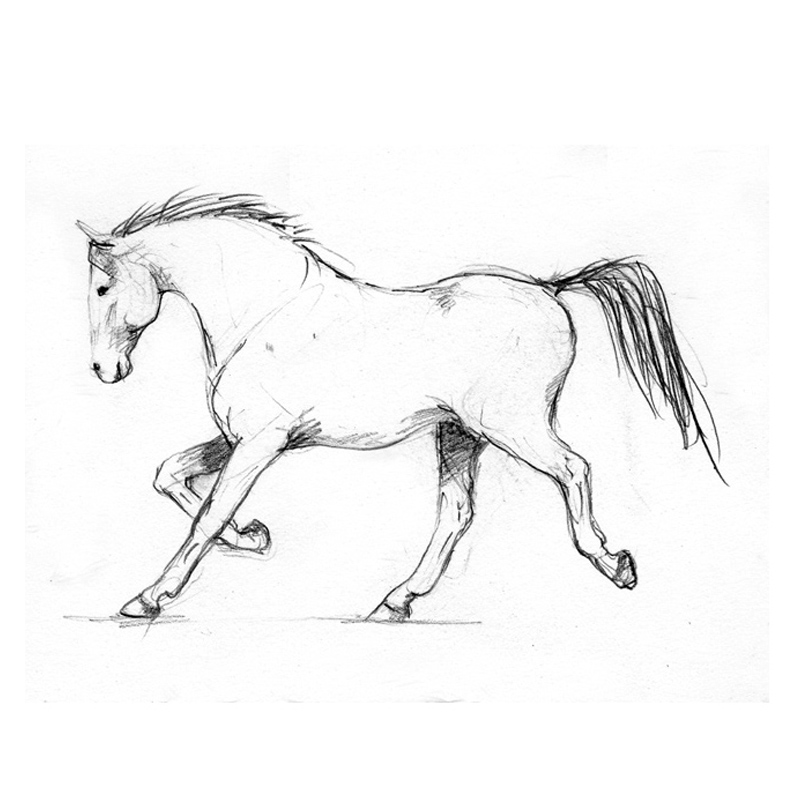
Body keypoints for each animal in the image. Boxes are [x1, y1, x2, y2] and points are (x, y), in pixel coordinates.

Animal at [78, 192, 721, 621]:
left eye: (103, 288)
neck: (267, 311)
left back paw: (615, 564)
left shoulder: (262, 440)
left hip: (512, 426)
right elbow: (171, 476)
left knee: (574, 469)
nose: (105, 371)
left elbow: (207, 515)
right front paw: (255, 537)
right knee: (457, 512)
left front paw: (148, 599)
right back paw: (397, 599)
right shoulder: (249, 438)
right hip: (460, 434)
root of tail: (550, 288)